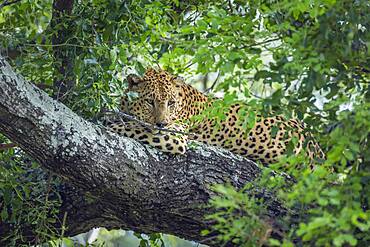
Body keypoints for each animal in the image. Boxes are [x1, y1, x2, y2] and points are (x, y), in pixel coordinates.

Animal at [107, 67, 324, 165]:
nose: (162, 124)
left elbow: (134, 127)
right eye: (150, 102)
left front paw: (110, 124)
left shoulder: (174, 135)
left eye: (171, 103)